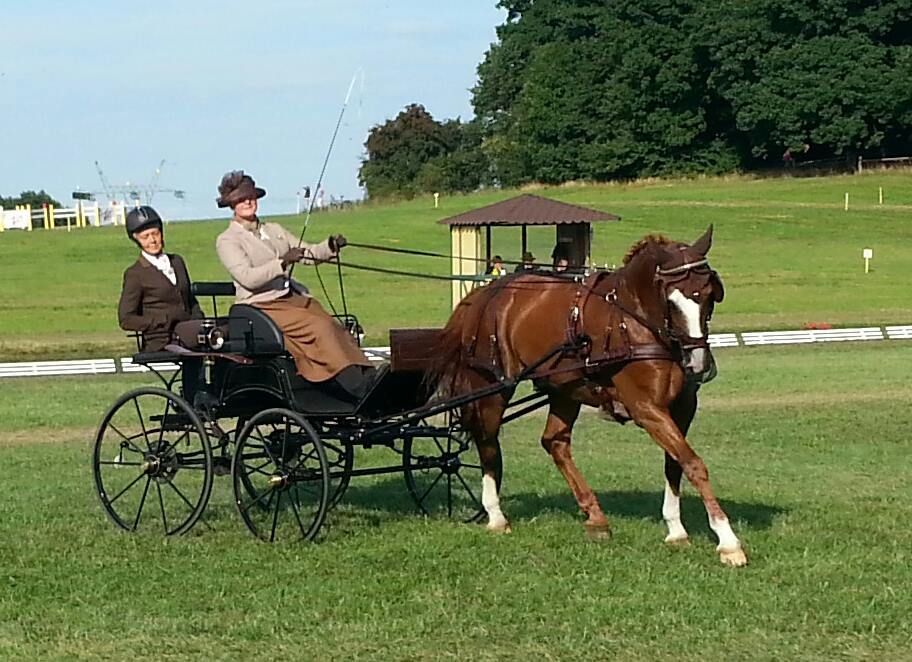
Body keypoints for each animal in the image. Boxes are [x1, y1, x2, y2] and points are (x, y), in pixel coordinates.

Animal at [432, 226, 748, 567]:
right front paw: (727, 540)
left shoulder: (683, 408)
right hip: (495, 385)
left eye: (708, 294)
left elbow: (675, 463)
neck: (634, 322)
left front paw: (676, 530)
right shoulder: (646, 408)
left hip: (565, 389)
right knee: (487, 441)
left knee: (555, 442)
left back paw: (595, 517)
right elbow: (692, 463)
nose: (698, 364)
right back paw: (495, 515)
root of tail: (485, 294)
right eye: (671, 299)